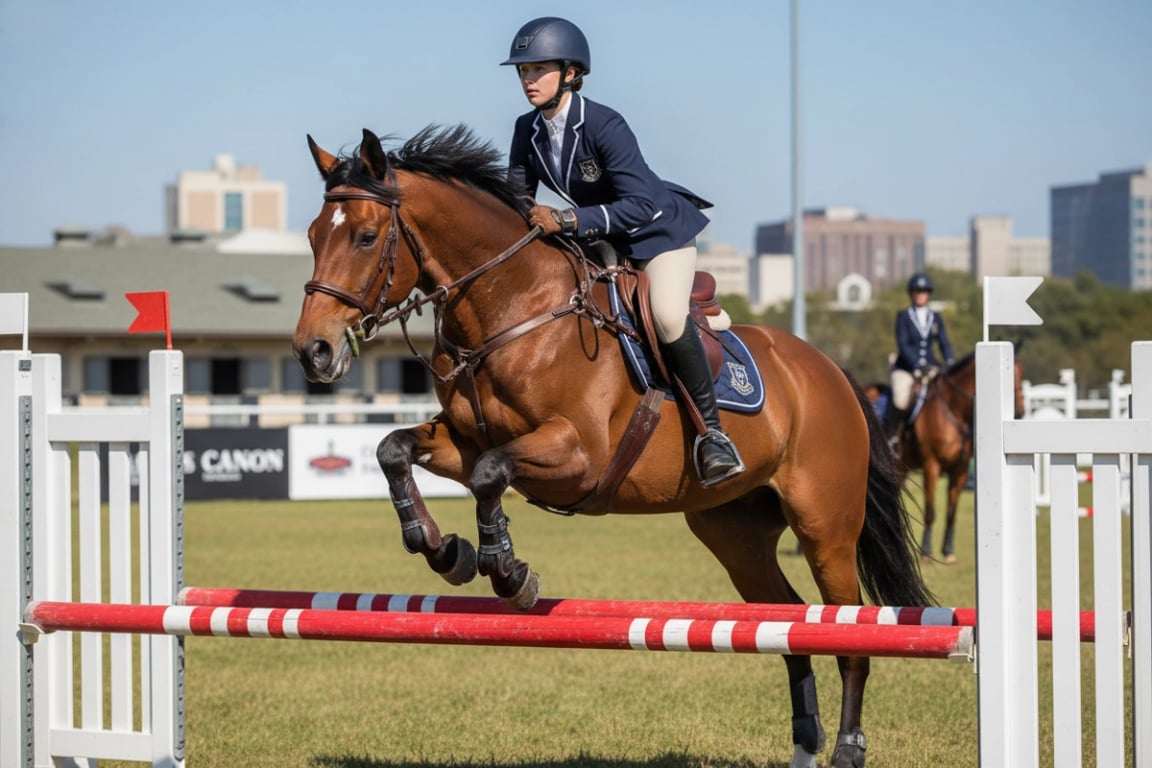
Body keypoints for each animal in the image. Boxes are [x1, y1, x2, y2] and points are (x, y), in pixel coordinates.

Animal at [292, 125, 934, 768]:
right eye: (314, 236)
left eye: (366, 236)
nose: (313, 351)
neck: (513, 309)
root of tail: (830, 371)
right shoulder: (464, 441)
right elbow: (395, 450)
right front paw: (445, 549)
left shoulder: (579, 457)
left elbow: (490, 475)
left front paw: (507, 571)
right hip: (736, 536)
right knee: (790, 624)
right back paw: (805, 741)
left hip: (825, 527)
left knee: (847, 628)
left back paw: (848, 747)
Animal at [887, 351, 1024, 563]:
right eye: (1009, 374)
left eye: (1021, 373)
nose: (1019, 412)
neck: (952, 411)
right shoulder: (931, 466)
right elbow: (930, 512)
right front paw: (926, 553)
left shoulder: (959, 470)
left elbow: (951, 513)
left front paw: (948, 551)